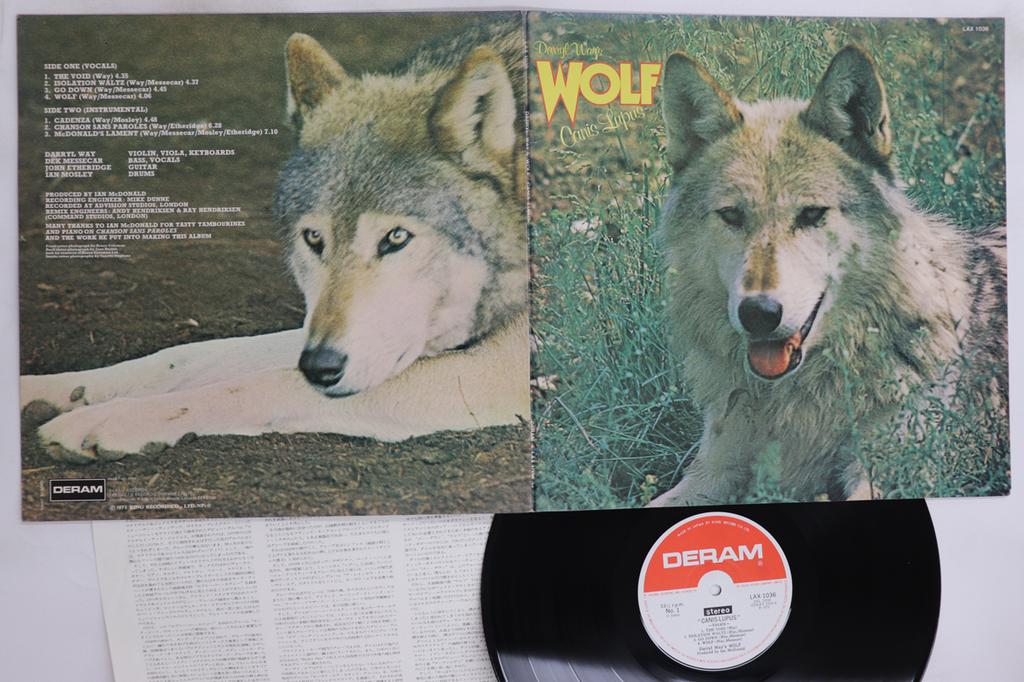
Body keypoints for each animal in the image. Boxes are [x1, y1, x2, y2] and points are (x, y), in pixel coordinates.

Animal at [20, 18, 529, 462]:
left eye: (396, 238)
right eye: (313, 238)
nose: (321, 366)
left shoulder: (487, 371)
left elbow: (261, 384)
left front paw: (110, 421)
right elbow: (187, 356)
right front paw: (43, 390)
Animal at [650, 46, 1007, 506]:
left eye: (811, 214)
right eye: (732, 215)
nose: (758, 313)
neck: (800, 395)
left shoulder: (887, 477)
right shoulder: (713, 472)